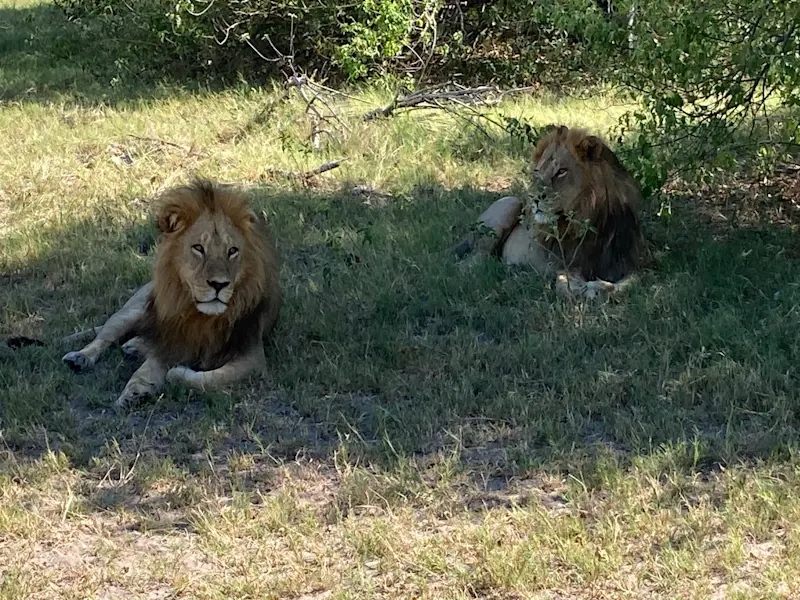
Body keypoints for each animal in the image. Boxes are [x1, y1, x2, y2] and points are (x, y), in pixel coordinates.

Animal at [62, 178, 282, 407]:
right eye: (198, 248)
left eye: (232, 251)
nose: (219, 284)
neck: (203, 317)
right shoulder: (175, 338)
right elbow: (150, 365)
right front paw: (136, 390)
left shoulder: (251, 358)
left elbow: (209, 378)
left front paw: (172, 374)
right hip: (132, 312)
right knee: (105, 336)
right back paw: (80, 357)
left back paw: (134, 346)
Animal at [457, 125, 644, 298]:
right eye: (537, 171)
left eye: (561, 171)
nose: (533, 197)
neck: (591, 216)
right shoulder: (564, 266)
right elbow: (564, 286)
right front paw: (587, 290)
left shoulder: (630, 265)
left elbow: (631, 283)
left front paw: (601, 287)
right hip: (509, 204)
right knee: (474, 259)